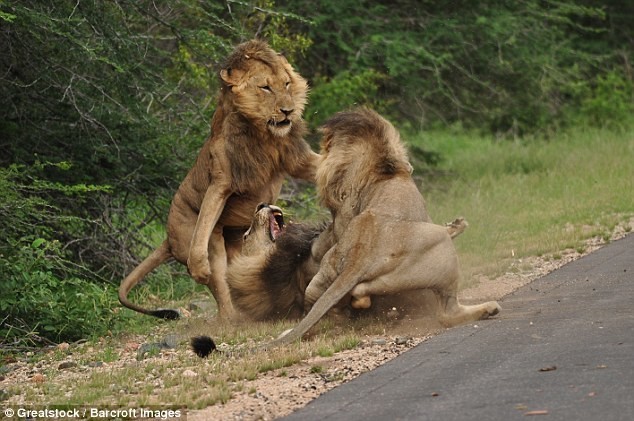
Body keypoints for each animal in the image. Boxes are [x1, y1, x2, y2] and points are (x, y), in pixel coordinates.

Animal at [116, 40, 318, 322]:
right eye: (265, 87)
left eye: (287, 84)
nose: (288, 111)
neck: (264, 135)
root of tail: (168, 239)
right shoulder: (221, 182)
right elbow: (208, 214)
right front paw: (199, 268)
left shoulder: (299, 160)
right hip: (209, 242)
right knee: (221, 286)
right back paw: (232, 316)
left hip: (238, 244)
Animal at [270, 107, 502, 344]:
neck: (382, 165)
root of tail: (358, 258)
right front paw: (458, 225)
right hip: (440, 250)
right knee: (447, 313)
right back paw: (488, 308)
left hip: (330, 274)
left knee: (336, 297)